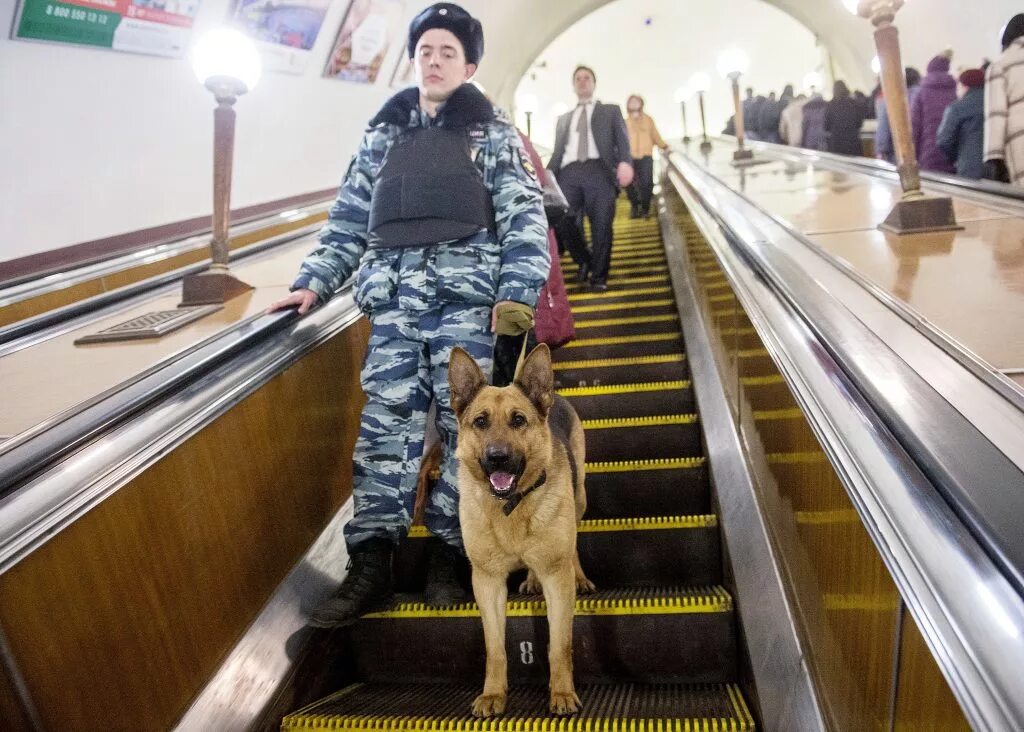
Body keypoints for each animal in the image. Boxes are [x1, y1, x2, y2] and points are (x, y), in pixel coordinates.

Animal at [446, 346, 593, 720]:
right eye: (480, 422)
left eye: (518, 420)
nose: (498, 458)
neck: (510, 505)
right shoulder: (487, 582)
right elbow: (495, 648)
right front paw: (493, 694)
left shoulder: (557, 579)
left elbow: (560, 645)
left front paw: (562, 693)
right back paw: (530, 579)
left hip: (579, 497)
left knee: (574, 544)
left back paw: (580, 576)